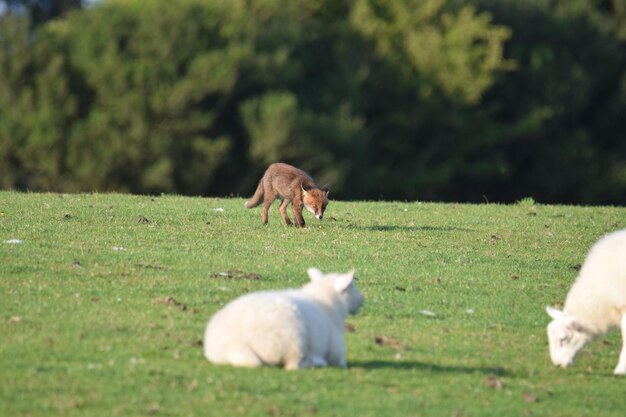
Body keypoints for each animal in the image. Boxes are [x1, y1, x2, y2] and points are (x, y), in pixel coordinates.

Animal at [202, 266, 364, 368]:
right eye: (352, 286)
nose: (362, 300)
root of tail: (236, 344)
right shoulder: (336, 347)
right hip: (294, 340)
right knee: (293, 364)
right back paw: (316, 362)